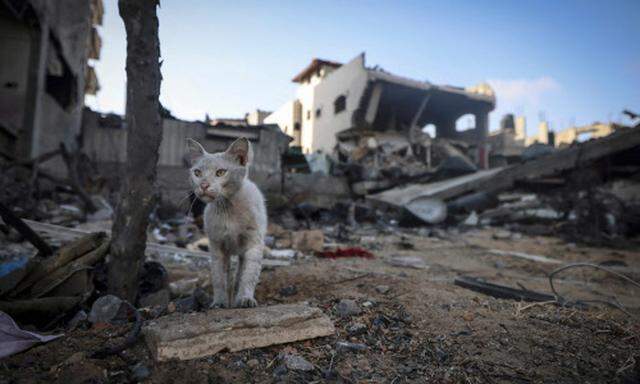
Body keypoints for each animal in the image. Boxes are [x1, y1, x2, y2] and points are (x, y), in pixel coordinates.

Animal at [186, 136, 266, 308]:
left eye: (220, 172)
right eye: (197, 172)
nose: (203, 185)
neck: (227, 209)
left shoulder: (254, 242)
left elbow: (249, 274)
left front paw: (245, 298)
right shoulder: (217, 246)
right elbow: (219, 277)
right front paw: (219, 302)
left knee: (240, 272)